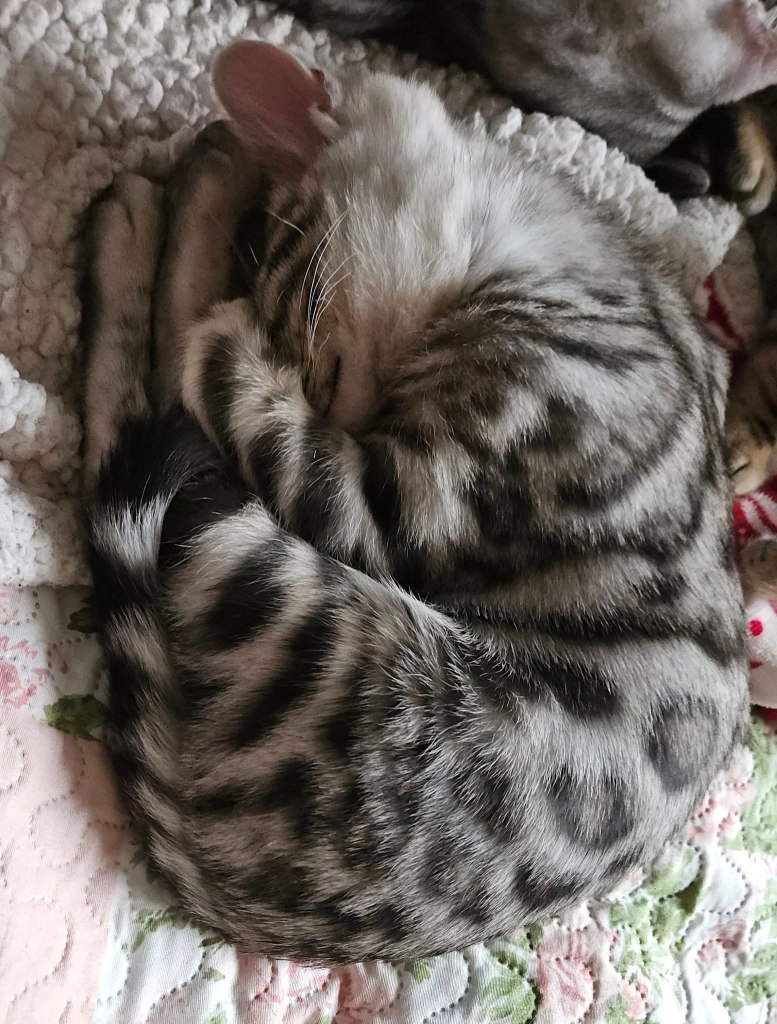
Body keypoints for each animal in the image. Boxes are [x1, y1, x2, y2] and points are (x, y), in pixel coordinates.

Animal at [81, 42, 749, 963]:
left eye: (308, 356)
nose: (337, 405)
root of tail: (223, 895)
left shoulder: (399, 505)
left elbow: (204, 356)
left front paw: (218, 274)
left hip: (276, 572)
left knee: (139, 416)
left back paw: (150, 213)